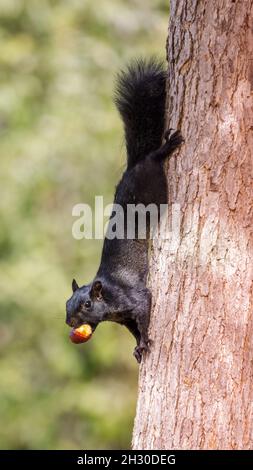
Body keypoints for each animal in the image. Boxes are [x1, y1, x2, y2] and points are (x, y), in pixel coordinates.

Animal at [66, 58, 183, 364]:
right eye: (67, 304)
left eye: (86, 304)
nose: (69, 322)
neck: (108, 300)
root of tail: (134, 165)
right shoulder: (124, 317)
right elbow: (133, 328)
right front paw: (138, 346)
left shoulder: (134, 297)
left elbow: (144, 315)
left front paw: (145, 342)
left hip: (154, 182)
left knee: (155, 157)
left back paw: (168, 146)